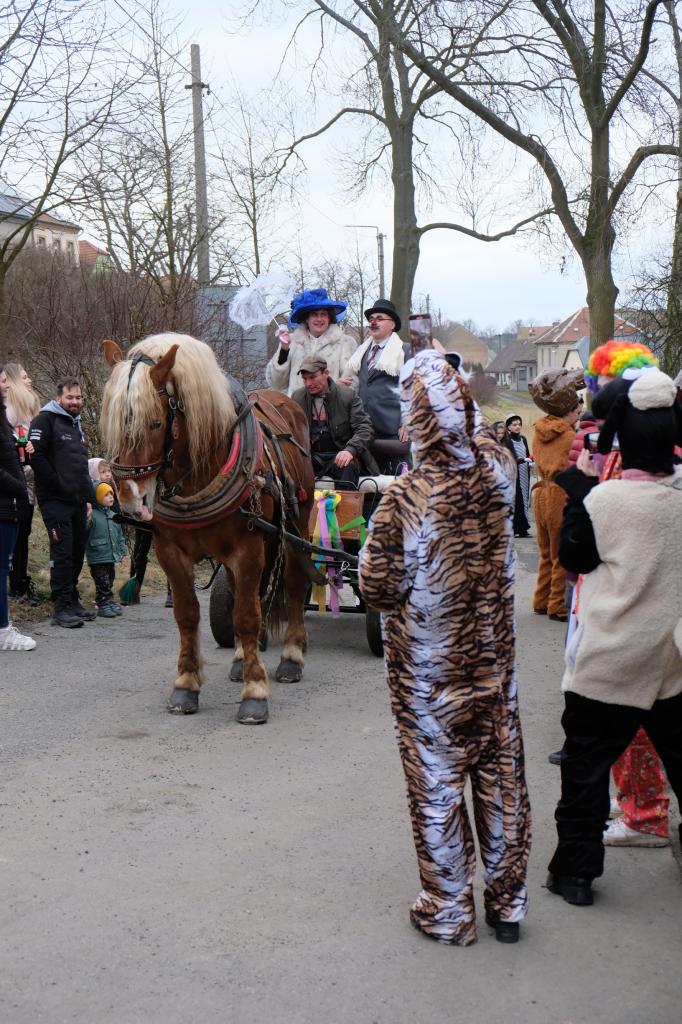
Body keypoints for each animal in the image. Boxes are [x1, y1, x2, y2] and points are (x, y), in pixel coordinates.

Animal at [100, 332, 317, 725]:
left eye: (155, 424)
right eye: (111, 421)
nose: (131, 502)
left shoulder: (248, 549)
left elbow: (247, 615)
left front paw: (255, 691)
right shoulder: (171, 552)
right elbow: (188, 615)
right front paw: (186, 684)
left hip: (295, 529)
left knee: (293, 584)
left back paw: (291, 656)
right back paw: (240, 659)